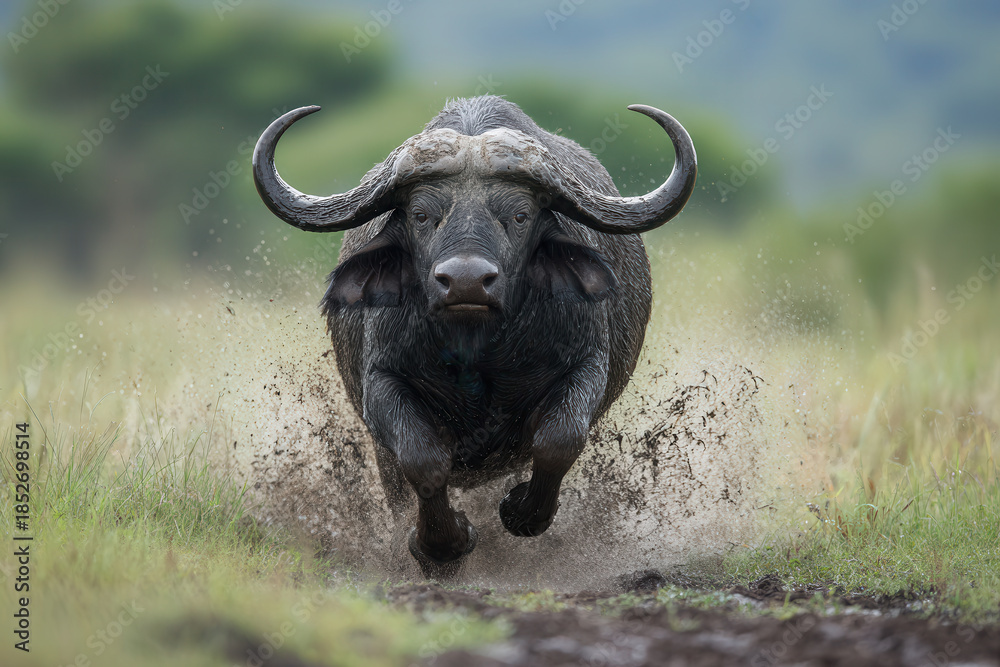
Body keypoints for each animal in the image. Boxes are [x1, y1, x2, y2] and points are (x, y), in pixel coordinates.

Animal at [252, 95, 696, 572]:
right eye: (421, 214)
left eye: (520, 215)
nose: (466, 282)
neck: (476, 347)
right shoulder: (382, 383)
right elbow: (422, 460)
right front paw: (442, 545)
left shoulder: (587, 366)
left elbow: (559, 441)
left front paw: (521, 513)